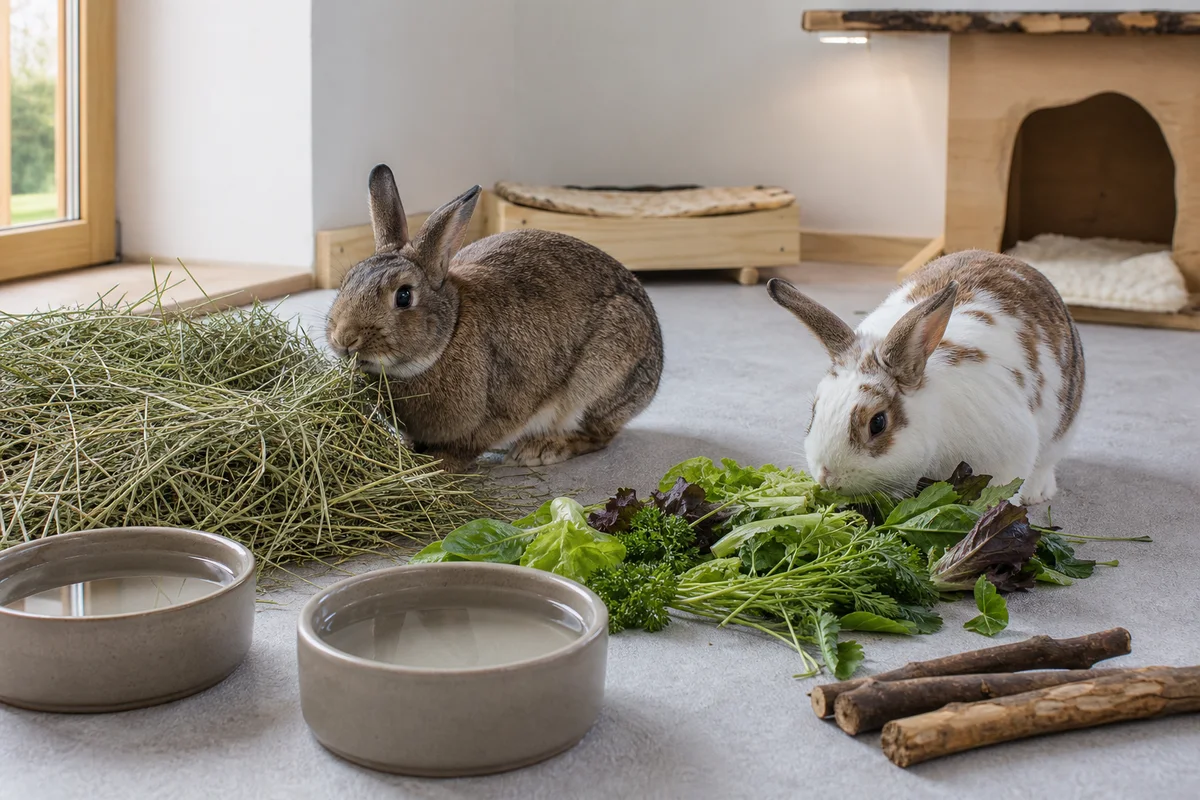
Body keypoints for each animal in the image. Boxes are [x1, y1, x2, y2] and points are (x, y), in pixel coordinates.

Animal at [325, 164, 664, 471]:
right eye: (348, 280)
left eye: (404, 296)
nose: (344, 339)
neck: (449, 334)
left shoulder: (502, 409)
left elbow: (466, 447)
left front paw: (436, 466)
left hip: (602, 376)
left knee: (599, 435)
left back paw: (540, 450)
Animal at [766, 249, 1085, 505]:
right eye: (814, 411)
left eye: (877, 423)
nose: (827, 477)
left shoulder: (1009, 454)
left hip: (1062, 431)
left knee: (1046, 462)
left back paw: (1037, 492)